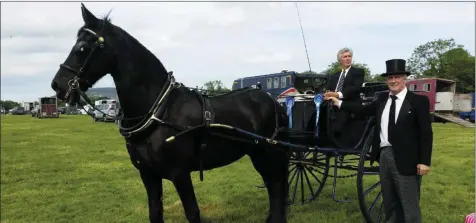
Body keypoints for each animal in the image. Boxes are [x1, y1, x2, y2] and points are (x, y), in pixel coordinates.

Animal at [51, 3, 290, 223]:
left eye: (82, 47)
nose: (58, 85)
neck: (159, 110)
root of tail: (274, 101)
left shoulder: (180, 173)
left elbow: (192, 213)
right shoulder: (148, 174)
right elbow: (155, 213)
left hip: (267, 153)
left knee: (276, 185)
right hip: (258, 154)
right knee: (274, 186)